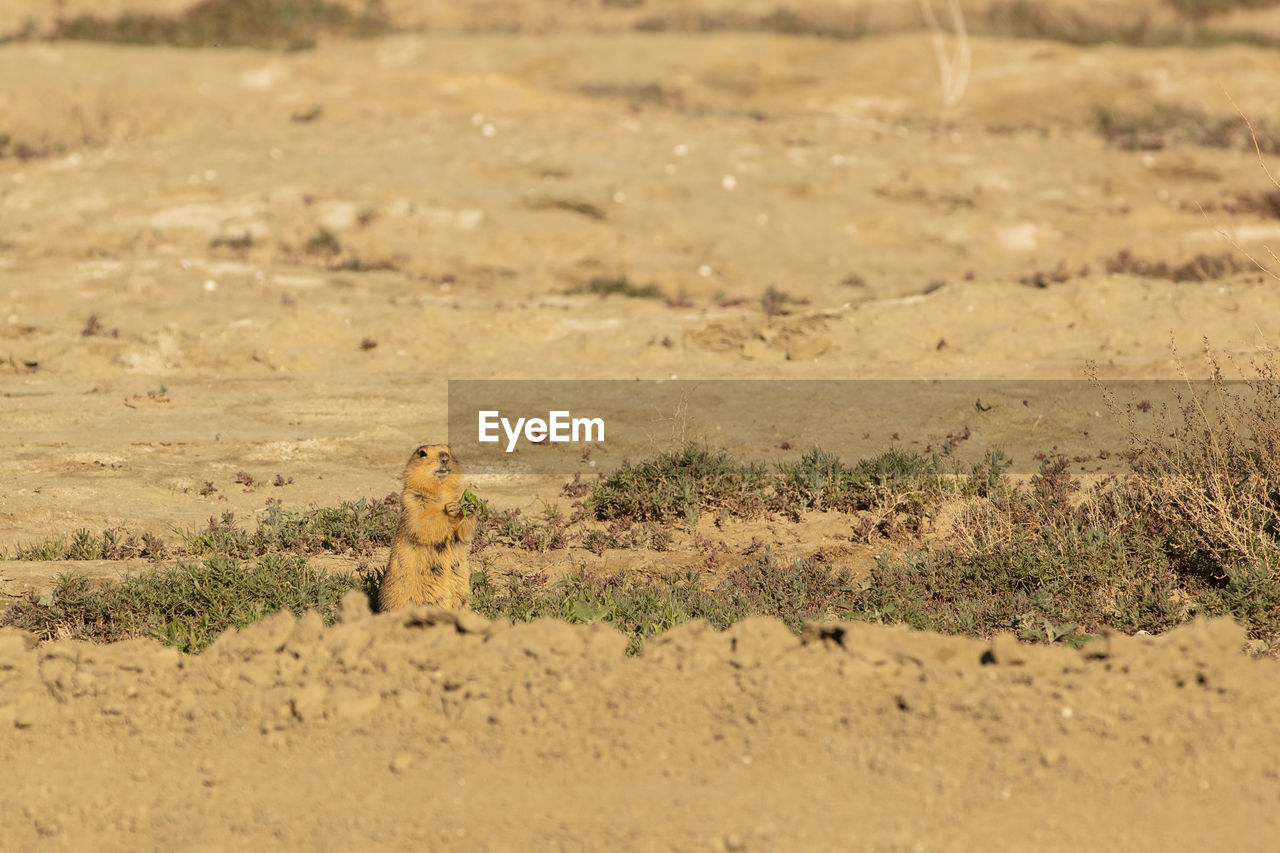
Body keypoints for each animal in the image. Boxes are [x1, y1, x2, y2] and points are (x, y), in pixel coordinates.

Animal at [381, 440, 478, 607]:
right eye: (422, 453)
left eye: (449, 450)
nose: (445, 457)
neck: (440, 490)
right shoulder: (412, 501)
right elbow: (421, 524)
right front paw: (449, 509)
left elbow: (463, 533)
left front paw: (470, 507)